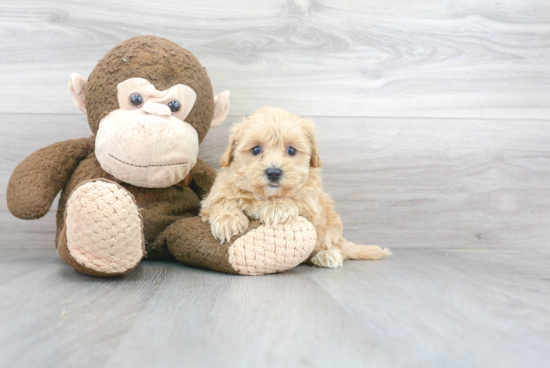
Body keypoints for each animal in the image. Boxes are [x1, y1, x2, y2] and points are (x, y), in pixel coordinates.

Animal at [201, 106, 390, 268]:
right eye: (255, 150)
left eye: (291, 150)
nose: (274, 172)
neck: (265, 195)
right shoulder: (216, 194)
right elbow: (222, 201)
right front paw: (228, 221)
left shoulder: (312, 205)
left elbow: (295, 199)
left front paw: (277, 208)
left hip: (331, 222)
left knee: (329, 244)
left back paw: (327, 255)